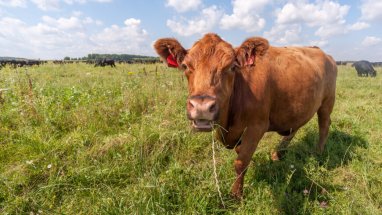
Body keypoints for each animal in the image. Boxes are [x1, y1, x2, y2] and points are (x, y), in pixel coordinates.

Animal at [154, 33, 336, 198]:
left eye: (231, 67)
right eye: (185, 66)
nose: (202, 107)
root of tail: (322, 52)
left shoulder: (256, 127)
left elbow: (241, 162)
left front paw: (236, 195)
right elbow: (240, 152)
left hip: (327, 101)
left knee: (324, 125)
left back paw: (318, 153)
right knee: (294, 128)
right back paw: (278, 153)